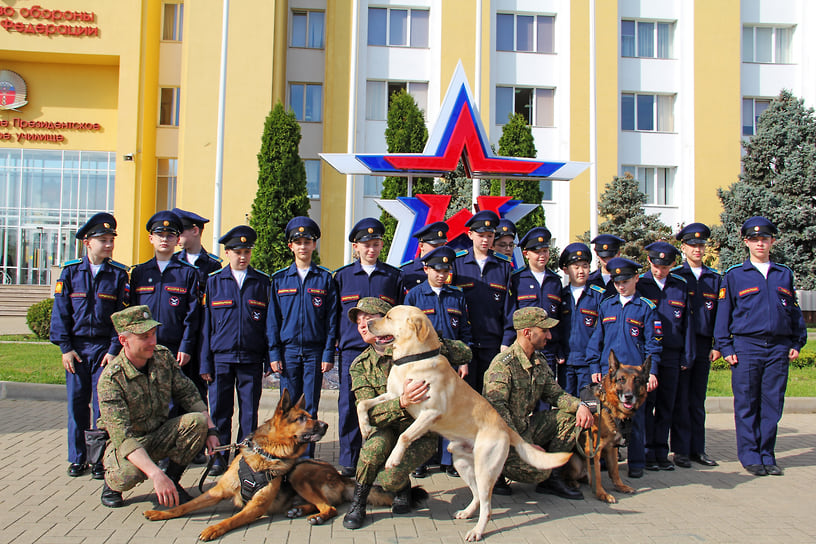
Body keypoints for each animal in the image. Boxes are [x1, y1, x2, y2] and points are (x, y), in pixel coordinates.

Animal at [142, 392, 420, 540]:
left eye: (311, 416)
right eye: (302, 418)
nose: (326, 425)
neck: (265, 455)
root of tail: (340, 477)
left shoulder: (255, 507)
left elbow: (230, 520)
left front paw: (213, 528)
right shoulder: (216, 492)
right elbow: (184, 507)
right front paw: (162, 513)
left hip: (300, 473)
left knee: (329, 507)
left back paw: (315, 516)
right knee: (318, 503)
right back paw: (299, 510)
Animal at [360, 306, 572, 540]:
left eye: (388, 317)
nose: (367, 324)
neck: (411, 360)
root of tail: (505, 428)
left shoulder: (430, 412)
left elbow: (405, 435)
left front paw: (393, 459)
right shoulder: (394, 395)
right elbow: (363, 403)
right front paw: (365, 426)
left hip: (485, 468)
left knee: (487, 506)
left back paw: (477, 531)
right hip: (461, 462)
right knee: (477, 495)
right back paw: (467, 513)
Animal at [568, 350, 652, 504]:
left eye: (637, 380)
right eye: (621, 379)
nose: (628, 396)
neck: (608, 407)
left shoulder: (612, 447)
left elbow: (614, 470)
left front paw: (620, 486)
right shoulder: (593, 449)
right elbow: (597, 475)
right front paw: (602, 494)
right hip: (575, 461)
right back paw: (573, 483)